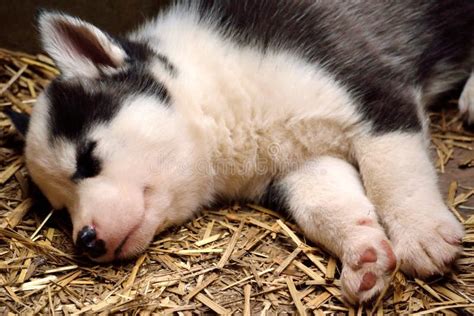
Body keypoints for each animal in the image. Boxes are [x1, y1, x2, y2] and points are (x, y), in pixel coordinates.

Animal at [12, 1, 474, 304]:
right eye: (60, 208)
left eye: (86, 159)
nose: (86, 241)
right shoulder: (302, 164)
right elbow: (325, 206)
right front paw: (364, 254)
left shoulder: (374, 95)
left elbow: (393, 171)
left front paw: (420, 233)